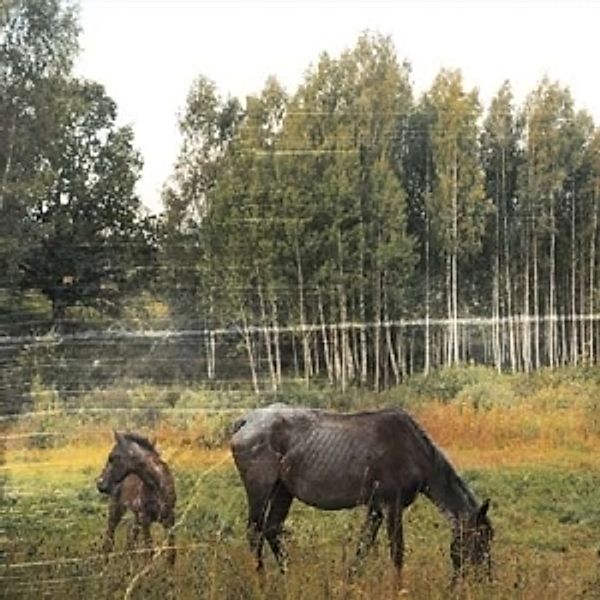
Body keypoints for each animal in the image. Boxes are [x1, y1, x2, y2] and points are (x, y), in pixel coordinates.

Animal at [97, 432, 177, 564]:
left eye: (112, 457)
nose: (100, 484)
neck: (158, 486)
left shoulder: (169, 518)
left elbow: (171, 553)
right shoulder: (145, 519)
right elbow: (149, 551)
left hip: (136, 517)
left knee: (130, 539)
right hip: (116, 510)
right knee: (110, 538)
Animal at [230, 406, 492, 580]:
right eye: (482, 537)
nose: (486, 580)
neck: (415, 453)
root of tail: (246, 420)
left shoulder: (375, 507)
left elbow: (363, 546)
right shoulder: (392, 505)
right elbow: (396, 552)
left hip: (283, 491)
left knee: (272, 529)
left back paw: (288, 576)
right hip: (260, 489)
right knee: (255, 532)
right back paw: (261, 579)